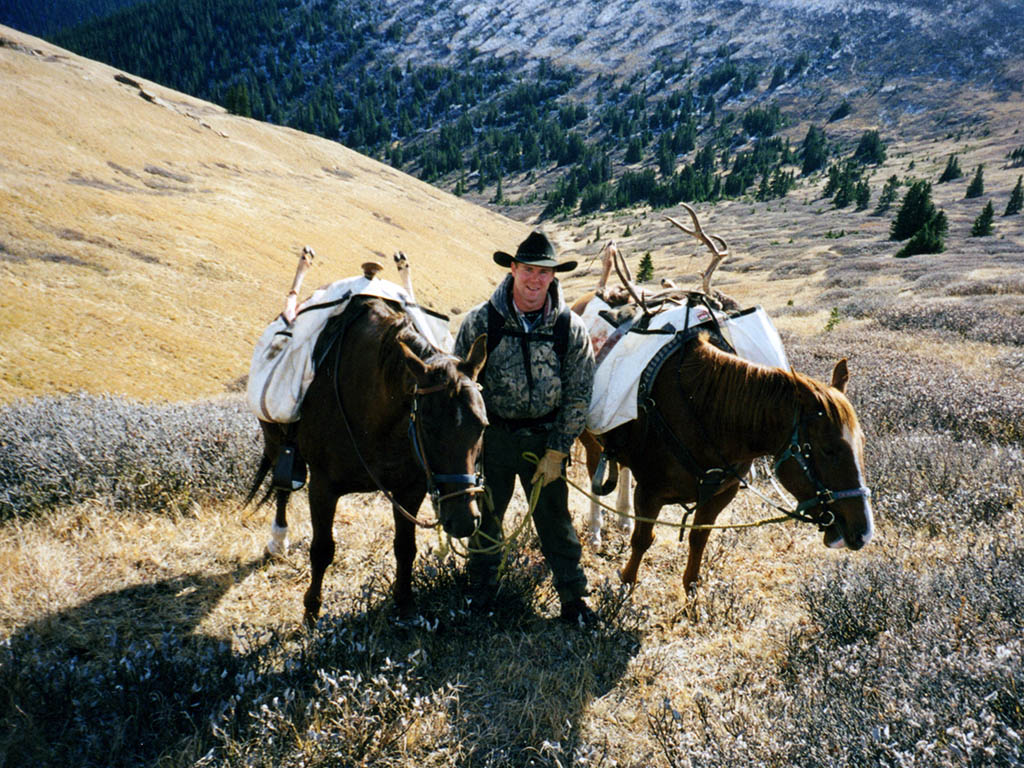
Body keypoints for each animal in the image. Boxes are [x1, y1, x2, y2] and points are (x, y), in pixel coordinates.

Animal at [246, 294, 487, 626]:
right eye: (428, 425)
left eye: (482, 425)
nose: (464, 520)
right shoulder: (323, 488)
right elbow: (322, 550)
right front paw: (312, 611)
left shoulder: (409, 490)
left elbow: (405, 548)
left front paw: (404, 606)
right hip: (275, 441)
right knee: (282, 488)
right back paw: (278, 540)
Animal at [593, 333, 872, 593]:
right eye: (828, 450)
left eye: (863, 442)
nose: (864, 532)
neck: (704, 412)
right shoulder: (649, 494)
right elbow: (641, 542)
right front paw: (623, 594)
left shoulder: (720, 496)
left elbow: (698, 541)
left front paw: (693, 602)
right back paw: (595, 532)